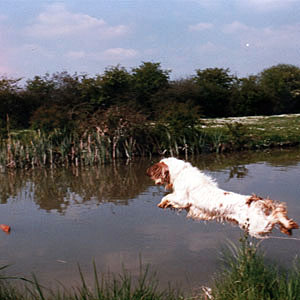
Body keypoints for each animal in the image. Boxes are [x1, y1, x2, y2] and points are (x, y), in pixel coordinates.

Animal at [147, 157, 298, 239]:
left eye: (154, 169)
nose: (147, 172)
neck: (181, 173)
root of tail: (253, 200)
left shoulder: (182, 199)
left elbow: (168, 196)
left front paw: (163, 203)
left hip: (256, 227)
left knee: (276, 215)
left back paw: (288, 225)